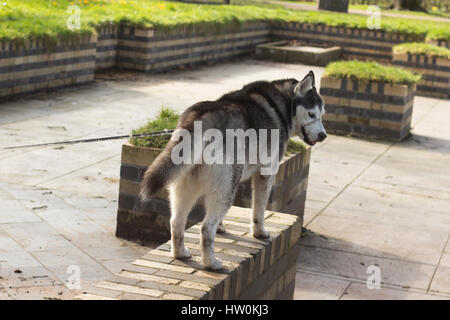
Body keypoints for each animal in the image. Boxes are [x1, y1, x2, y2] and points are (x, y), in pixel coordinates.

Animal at [139, 70, 326, 270]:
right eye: (311, 114)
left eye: (322, 115)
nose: (323, 135)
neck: (281, 105)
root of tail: (201, 118)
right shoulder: (266, 173)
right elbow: (259, 210)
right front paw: (259, 232)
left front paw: (221, 228)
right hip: (227, 186)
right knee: (206, 228)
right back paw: (211, 263)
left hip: (189, 185)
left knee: (176, 221)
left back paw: (180, 253)